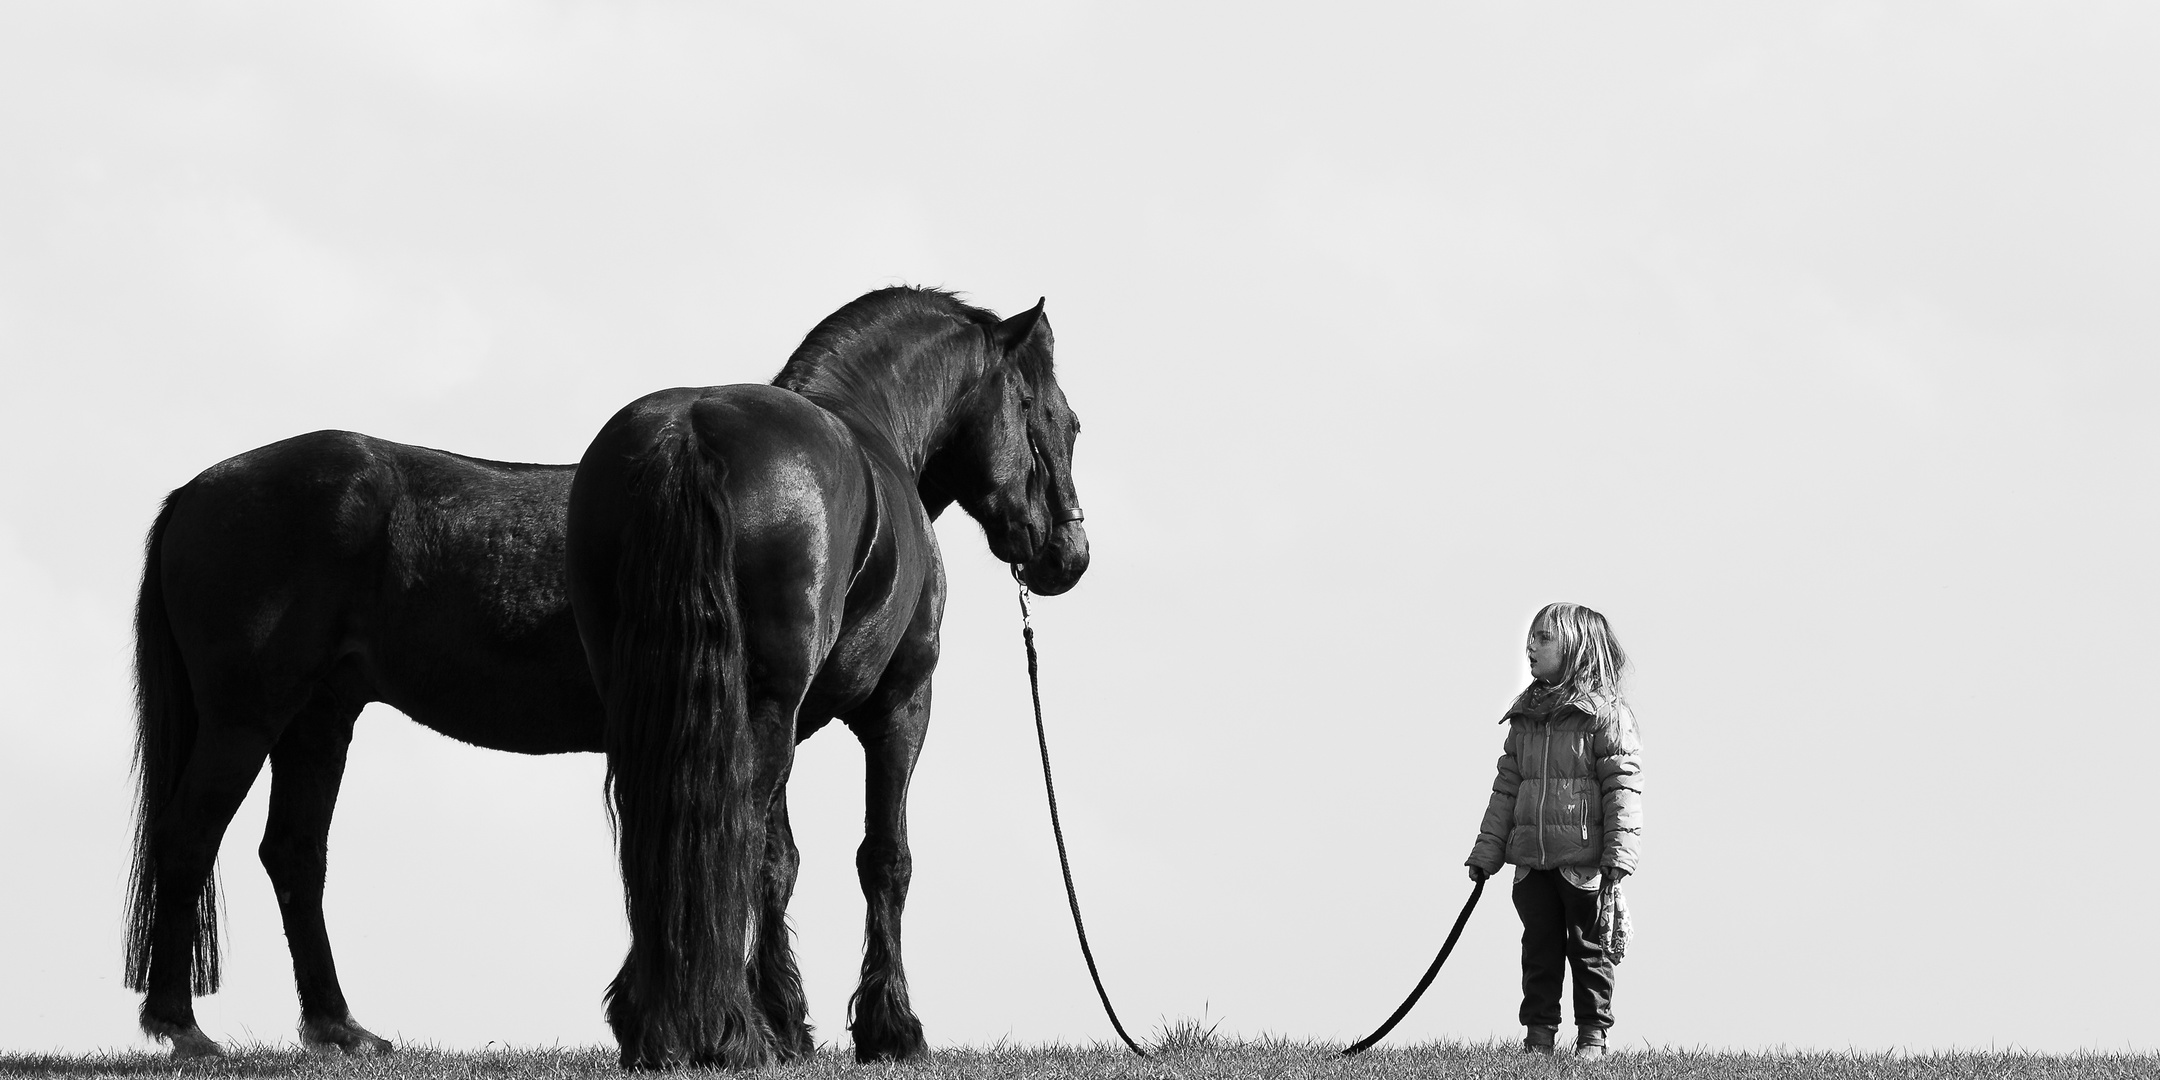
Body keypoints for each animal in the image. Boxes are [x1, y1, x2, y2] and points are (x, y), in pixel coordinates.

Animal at [565, 282, 1088, 1067]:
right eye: (1060, 419)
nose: (1069, 554)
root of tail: (687, 437)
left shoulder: (792, 721)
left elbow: (779, 862)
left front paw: (787, 1022)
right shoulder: (901, 705)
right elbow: (884, 858)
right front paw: (890, 1027)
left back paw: (661, 1021)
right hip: (770, 709)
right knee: (733, 832)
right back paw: (720, 1025)